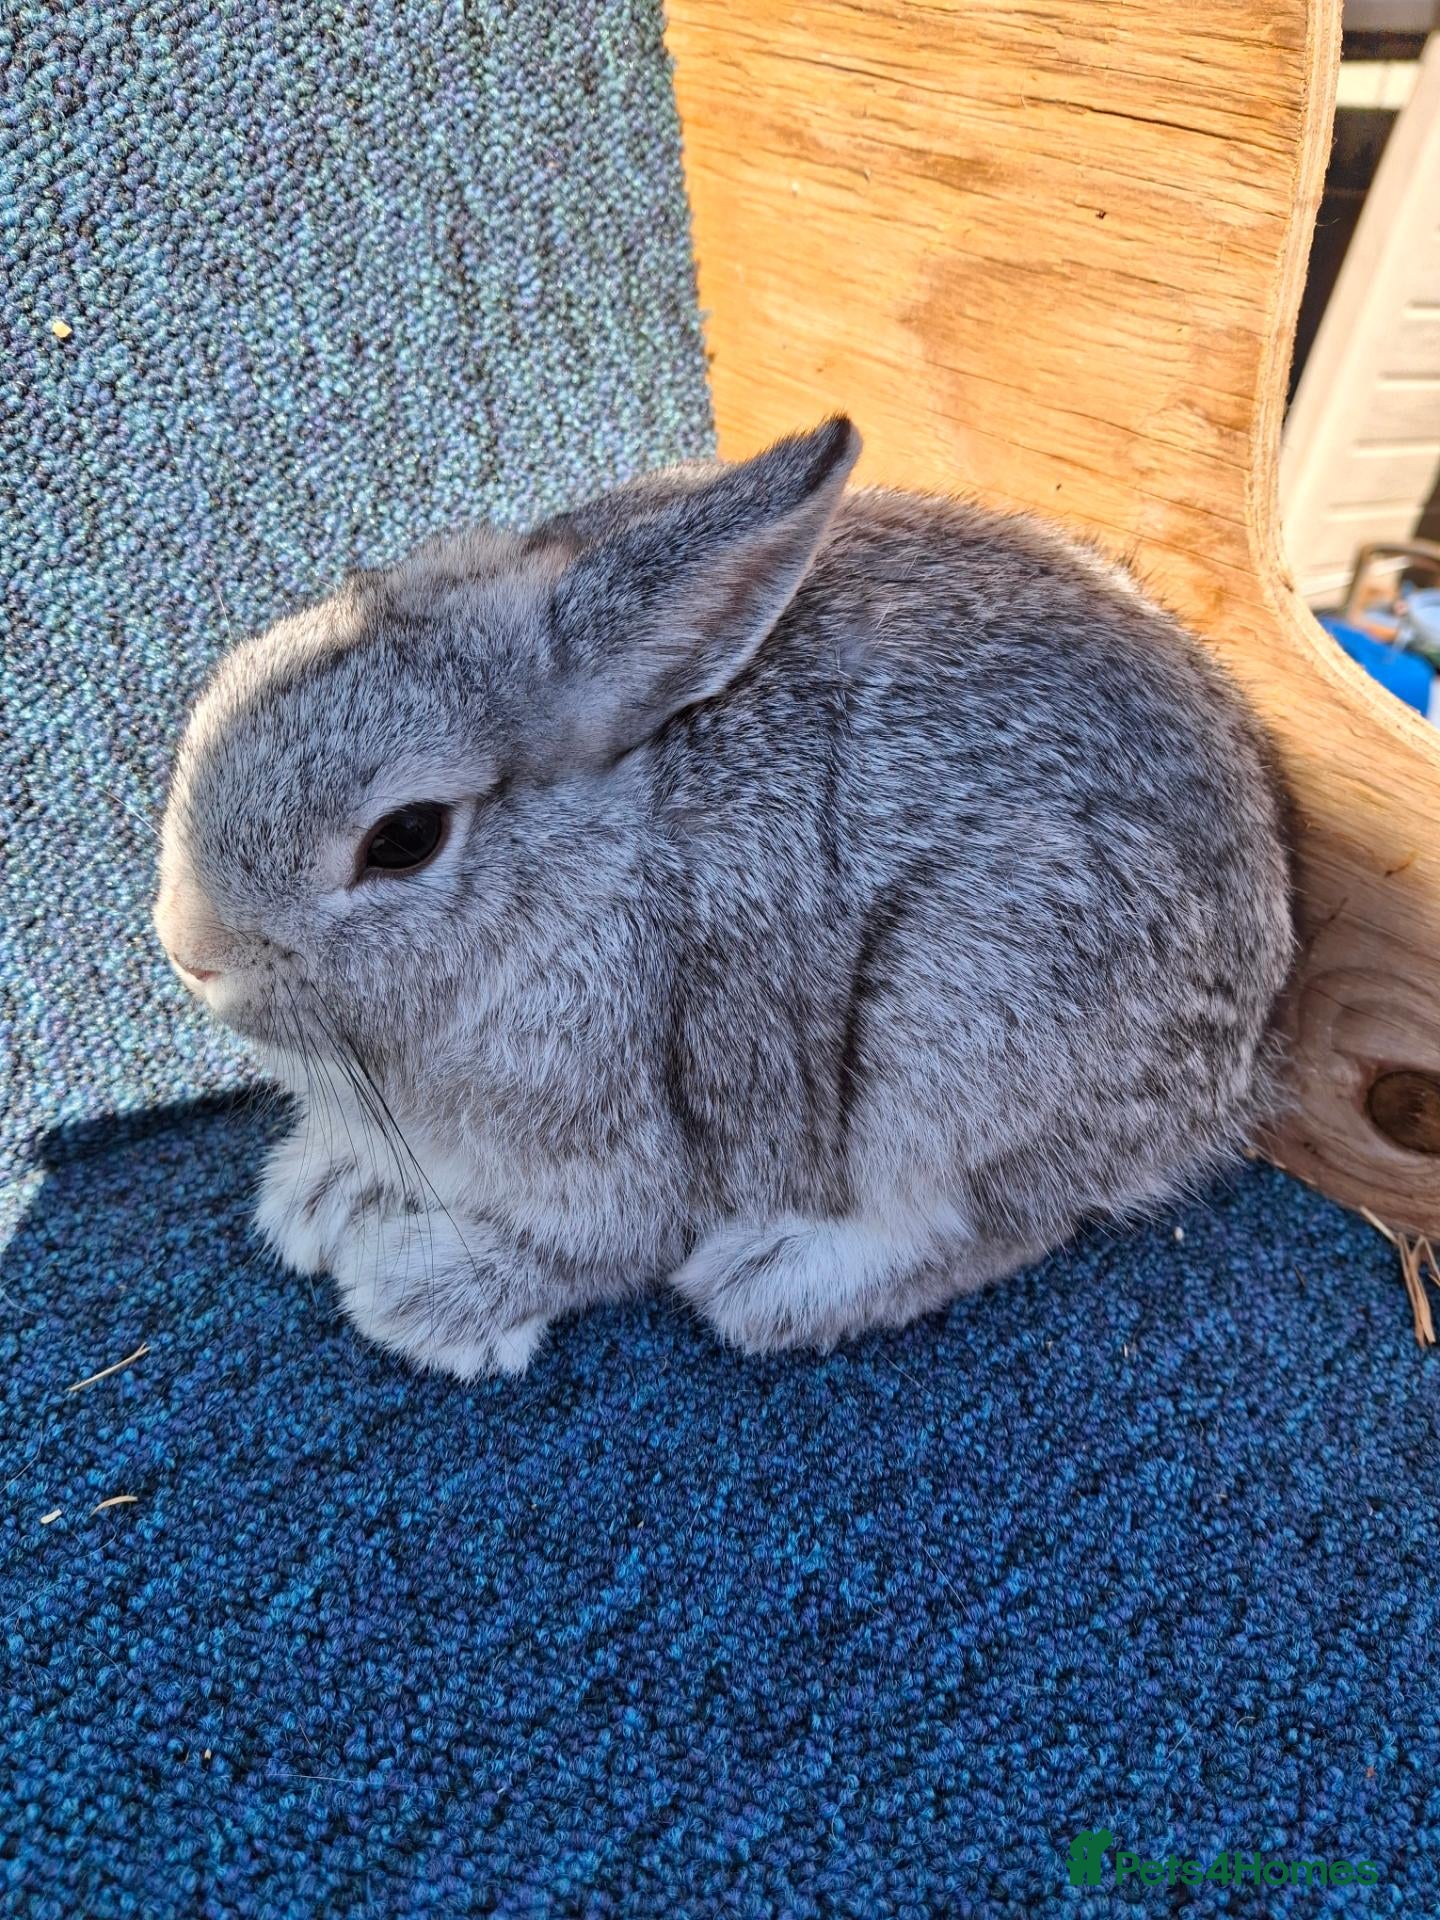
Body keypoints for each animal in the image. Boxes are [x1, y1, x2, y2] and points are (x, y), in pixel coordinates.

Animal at [155, 417, 1294, 1379]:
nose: (190, 951)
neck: (576, 876)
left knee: (995, 1221)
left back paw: (774, 1284)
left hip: (954, 1026)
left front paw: (422, 1299)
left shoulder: (620, 1157)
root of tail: (1234, 1070)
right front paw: (316, 1197)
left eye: (404, 838)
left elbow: (590, 1255)